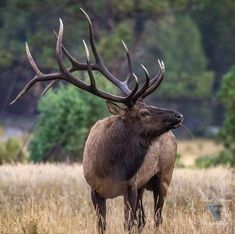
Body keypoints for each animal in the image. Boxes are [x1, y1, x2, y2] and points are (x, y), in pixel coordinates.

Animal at [11, 8, 184, 233]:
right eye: (144, 113)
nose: (178, 115)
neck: (111, 168)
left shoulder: (130, 186)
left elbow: (128, 224)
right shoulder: (95, 189)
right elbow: (102, 224)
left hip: (164, 177)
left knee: (157, 217)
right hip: (144, 186)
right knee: (144, 219)